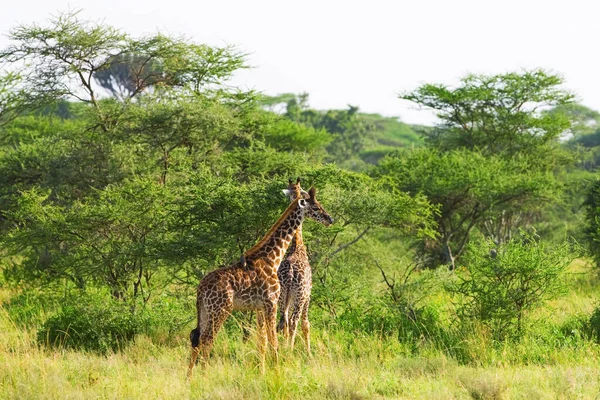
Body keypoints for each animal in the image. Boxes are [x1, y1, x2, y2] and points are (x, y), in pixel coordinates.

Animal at [188, 183, 332, 376]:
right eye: (316, 207)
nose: (329, 219)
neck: (272, 258)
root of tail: (200, 289)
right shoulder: (271, 303)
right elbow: (274, 342)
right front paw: (277, 372)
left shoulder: (259, 307)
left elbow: (262, 341)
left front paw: (263, 371)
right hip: (220, 310)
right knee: (207, 340)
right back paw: (204, 375)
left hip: (205, 310)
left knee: (196, 338)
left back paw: (189, 377)